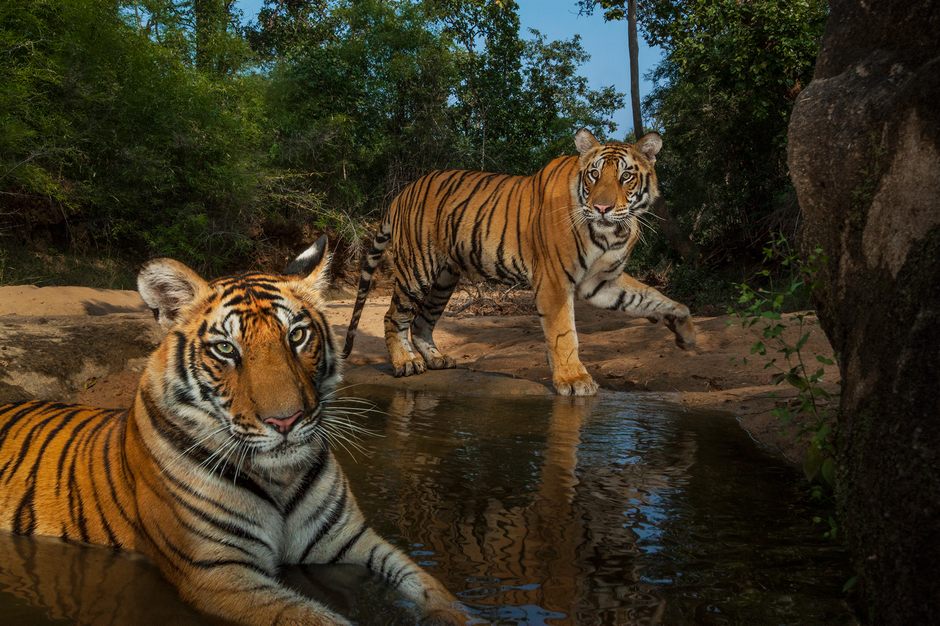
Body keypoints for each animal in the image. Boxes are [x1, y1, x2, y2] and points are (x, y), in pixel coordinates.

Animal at [0, 235, 466, 624]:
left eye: (297, 336)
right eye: (226, 348)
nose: (285, 420)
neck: (280, 477)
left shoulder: (349, 539)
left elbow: (431, 586)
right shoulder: (218, 572)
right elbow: (315, 619)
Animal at [342, 127, 692, 394]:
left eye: (626, 177)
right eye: (594, 175)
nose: (602, 208)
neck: (611, 232)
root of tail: (403, 192)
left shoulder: (602, 281)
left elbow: (651, 297)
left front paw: (685, 328)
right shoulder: (554, 281)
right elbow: (564, 333)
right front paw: (574, 380)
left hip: (444, 279)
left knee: (422, 320)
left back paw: (436, 359)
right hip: (418, 270)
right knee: (394, 316)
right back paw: (405, 363)